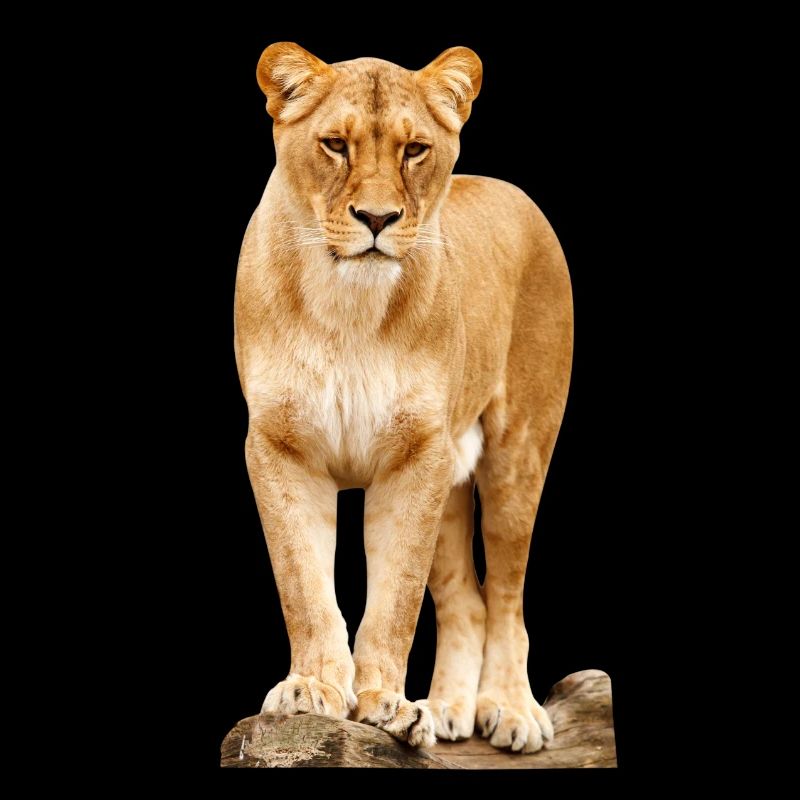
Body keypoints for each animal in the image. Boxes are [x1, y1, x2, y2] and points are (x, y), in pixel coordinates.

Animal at [234, 42, 573, 753]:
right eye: (335, 144)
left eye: (415, 150)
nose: (377, 219)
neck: (347, 306)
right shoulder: (280, 447)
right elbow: (304, 584)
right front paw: (312, 689)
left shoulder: (416, 455)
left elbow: (395, 598)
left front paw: (385, 703)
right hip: (451, 479)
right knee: (468, 600)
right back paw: (446, 710)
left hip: (517, 454)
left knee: (506, 593)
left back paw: (511, 709)